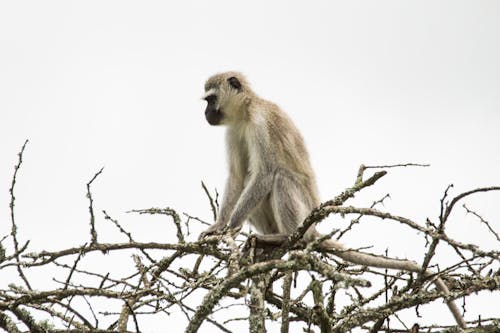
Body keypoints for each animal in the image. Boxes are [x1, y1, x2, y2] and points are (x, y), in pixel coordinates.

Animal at [201, 70, 466, 326]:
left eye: (210, 100)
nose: (205, 113)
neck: (246, 112)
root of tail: (312, 229)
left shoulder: (260, 125)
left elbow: (264, 174)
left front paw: (231, 227)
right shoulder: (233, 131)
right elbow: (237, 177)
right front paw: (219, 226)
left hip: (304, 212)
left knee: (278, 177)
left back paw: (286, 237)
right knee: (249, 180)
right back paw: (268, 243)